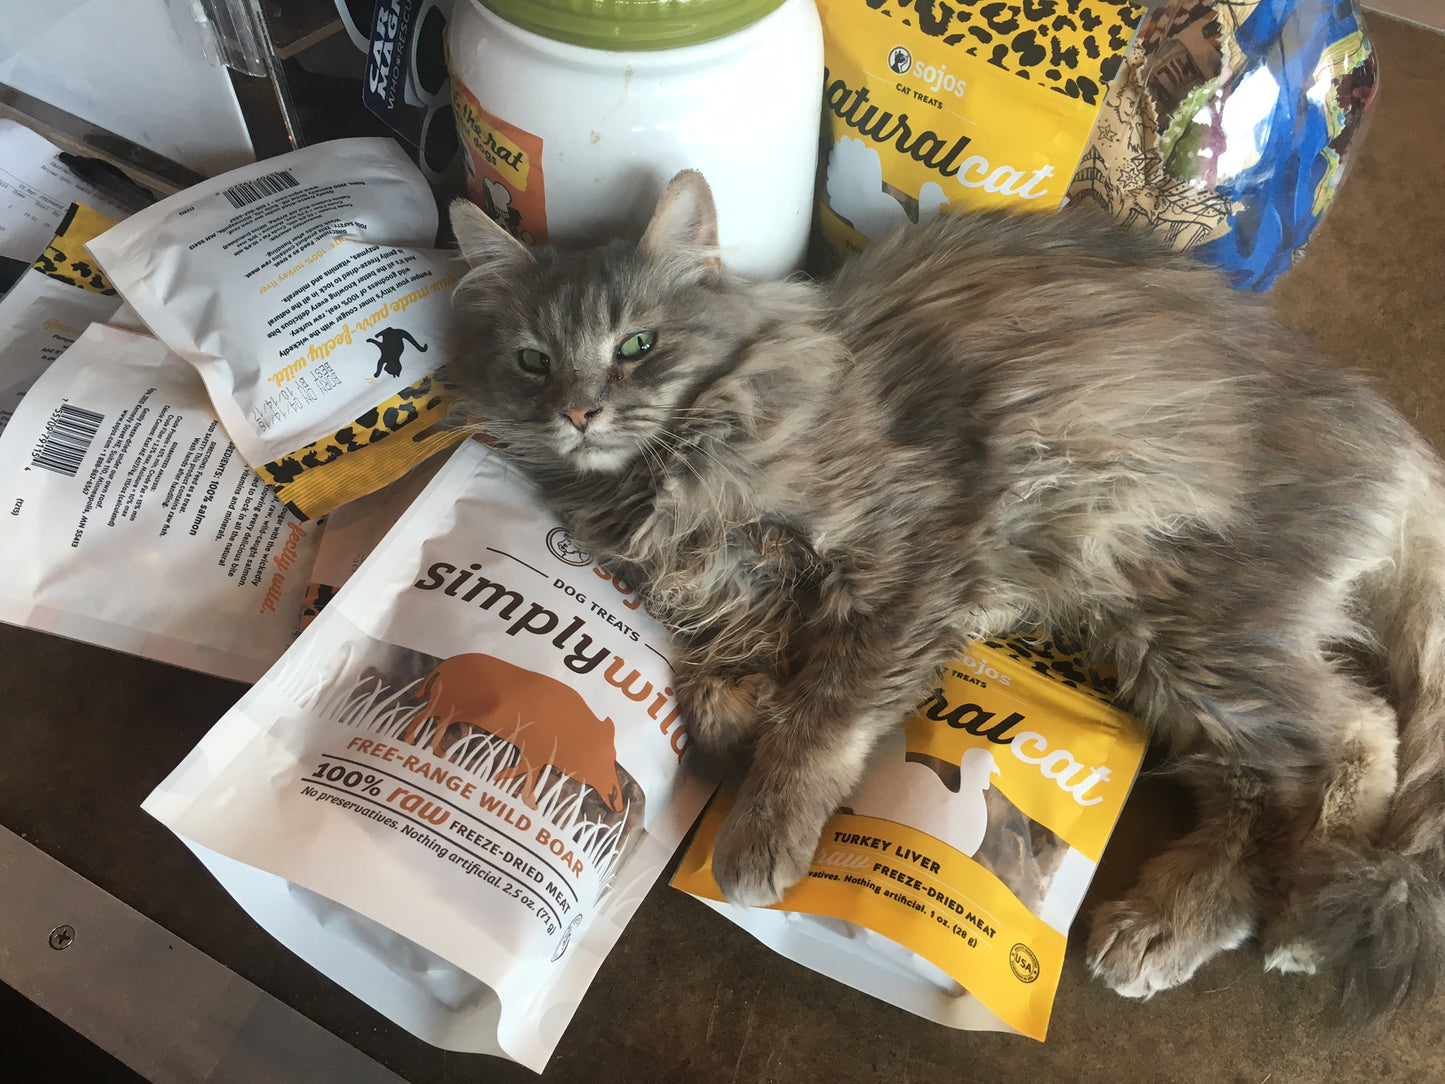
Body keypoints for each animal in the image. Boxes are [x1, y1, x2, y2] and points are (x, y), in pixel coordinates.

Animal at [445, 174, 1445, 1023]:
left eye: (636, 347)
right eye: (532, 362)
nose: (578, 412)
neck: (678, 466)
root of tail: (1392, 440)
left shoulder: (906, 554)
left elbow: (822, 721)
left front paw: (765, 830)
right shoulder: (738, 603)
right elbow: (722, 693)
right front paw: (748, 718)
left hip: (1191, 619)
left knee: (1345, 742)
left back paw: (1264, 918)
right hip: (1156, 641)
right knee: (1303, 762)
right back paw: (1238, 913)